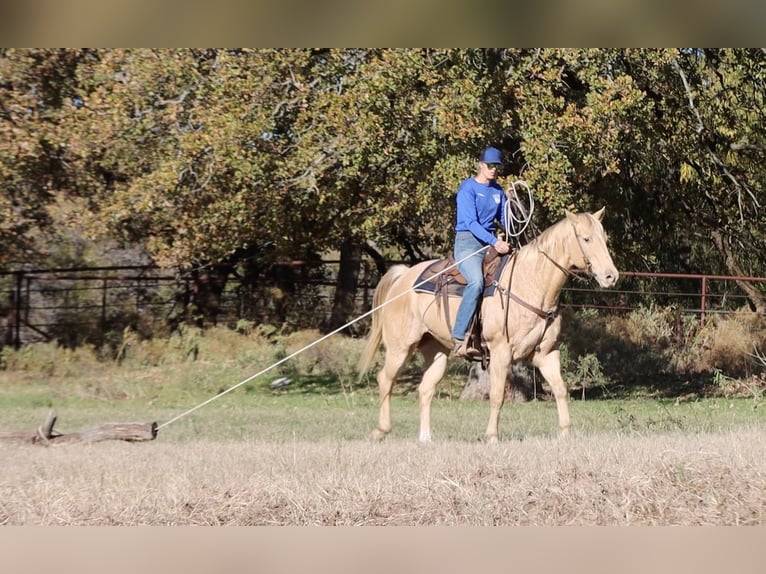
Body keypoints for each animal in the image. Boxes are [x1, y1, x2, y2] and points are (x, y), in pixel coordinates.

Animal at [357, 208, 619, 443]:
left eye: (604, 239)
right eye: (586, 239)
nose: (611, 276)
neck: (530, 282)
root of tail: (403, 277)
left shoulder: (546, 353)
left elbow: (560, 389)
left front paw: (564, 433)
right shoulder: (500, 352)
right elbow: (496, 395)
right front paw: (492, 435)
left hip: (437, 351)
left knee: (425, 389)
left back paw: (426, 438)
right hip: (400, 347)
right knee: (385, 379)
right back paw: (380, 431)